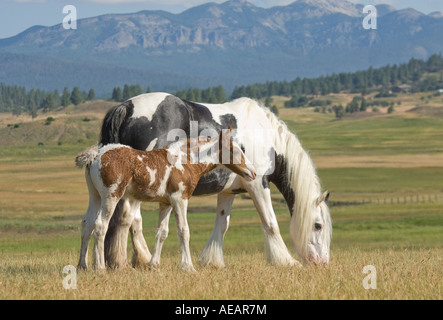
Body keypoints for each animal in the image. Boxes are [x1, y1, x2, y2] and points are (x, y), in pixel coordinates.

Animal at [75, 126, 256, 272]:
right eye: (236, 151)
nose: (253, 173)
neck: (184, 160)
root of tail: (96, 154)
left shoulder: (166, 203)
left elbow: (162, 232)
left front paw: (153, 265)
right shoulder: (180, 199)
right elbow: (184, 231)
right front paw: (188, 267)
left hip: (95, 196)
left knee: (87, 224)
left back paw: (82, 266)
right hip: (111, 196)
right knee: (100, 225)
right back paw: (100, 267)